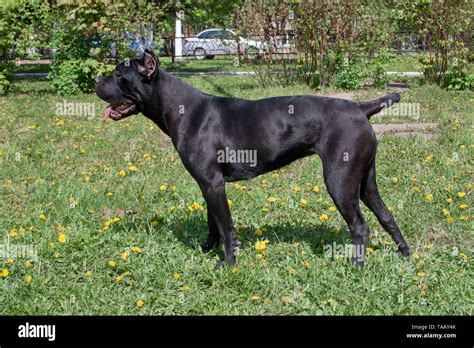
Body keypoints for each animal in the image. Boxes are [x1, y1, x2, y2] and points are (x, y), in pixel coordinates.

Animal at [95, 49, 412, 266]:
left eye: (119, 76)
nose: (97, 79)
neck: (181, 108)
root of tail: (360, 107)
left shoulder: (213, 183)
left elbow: (226, 227)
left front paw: (227, 264)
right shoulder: (208, 184)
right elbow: (213, 223)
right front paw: (206, 250)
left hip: (340, 180)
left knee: (359, 225)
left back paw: (355, 266)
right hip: (365, 180)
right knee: (386, 215)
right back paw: (405, 254)